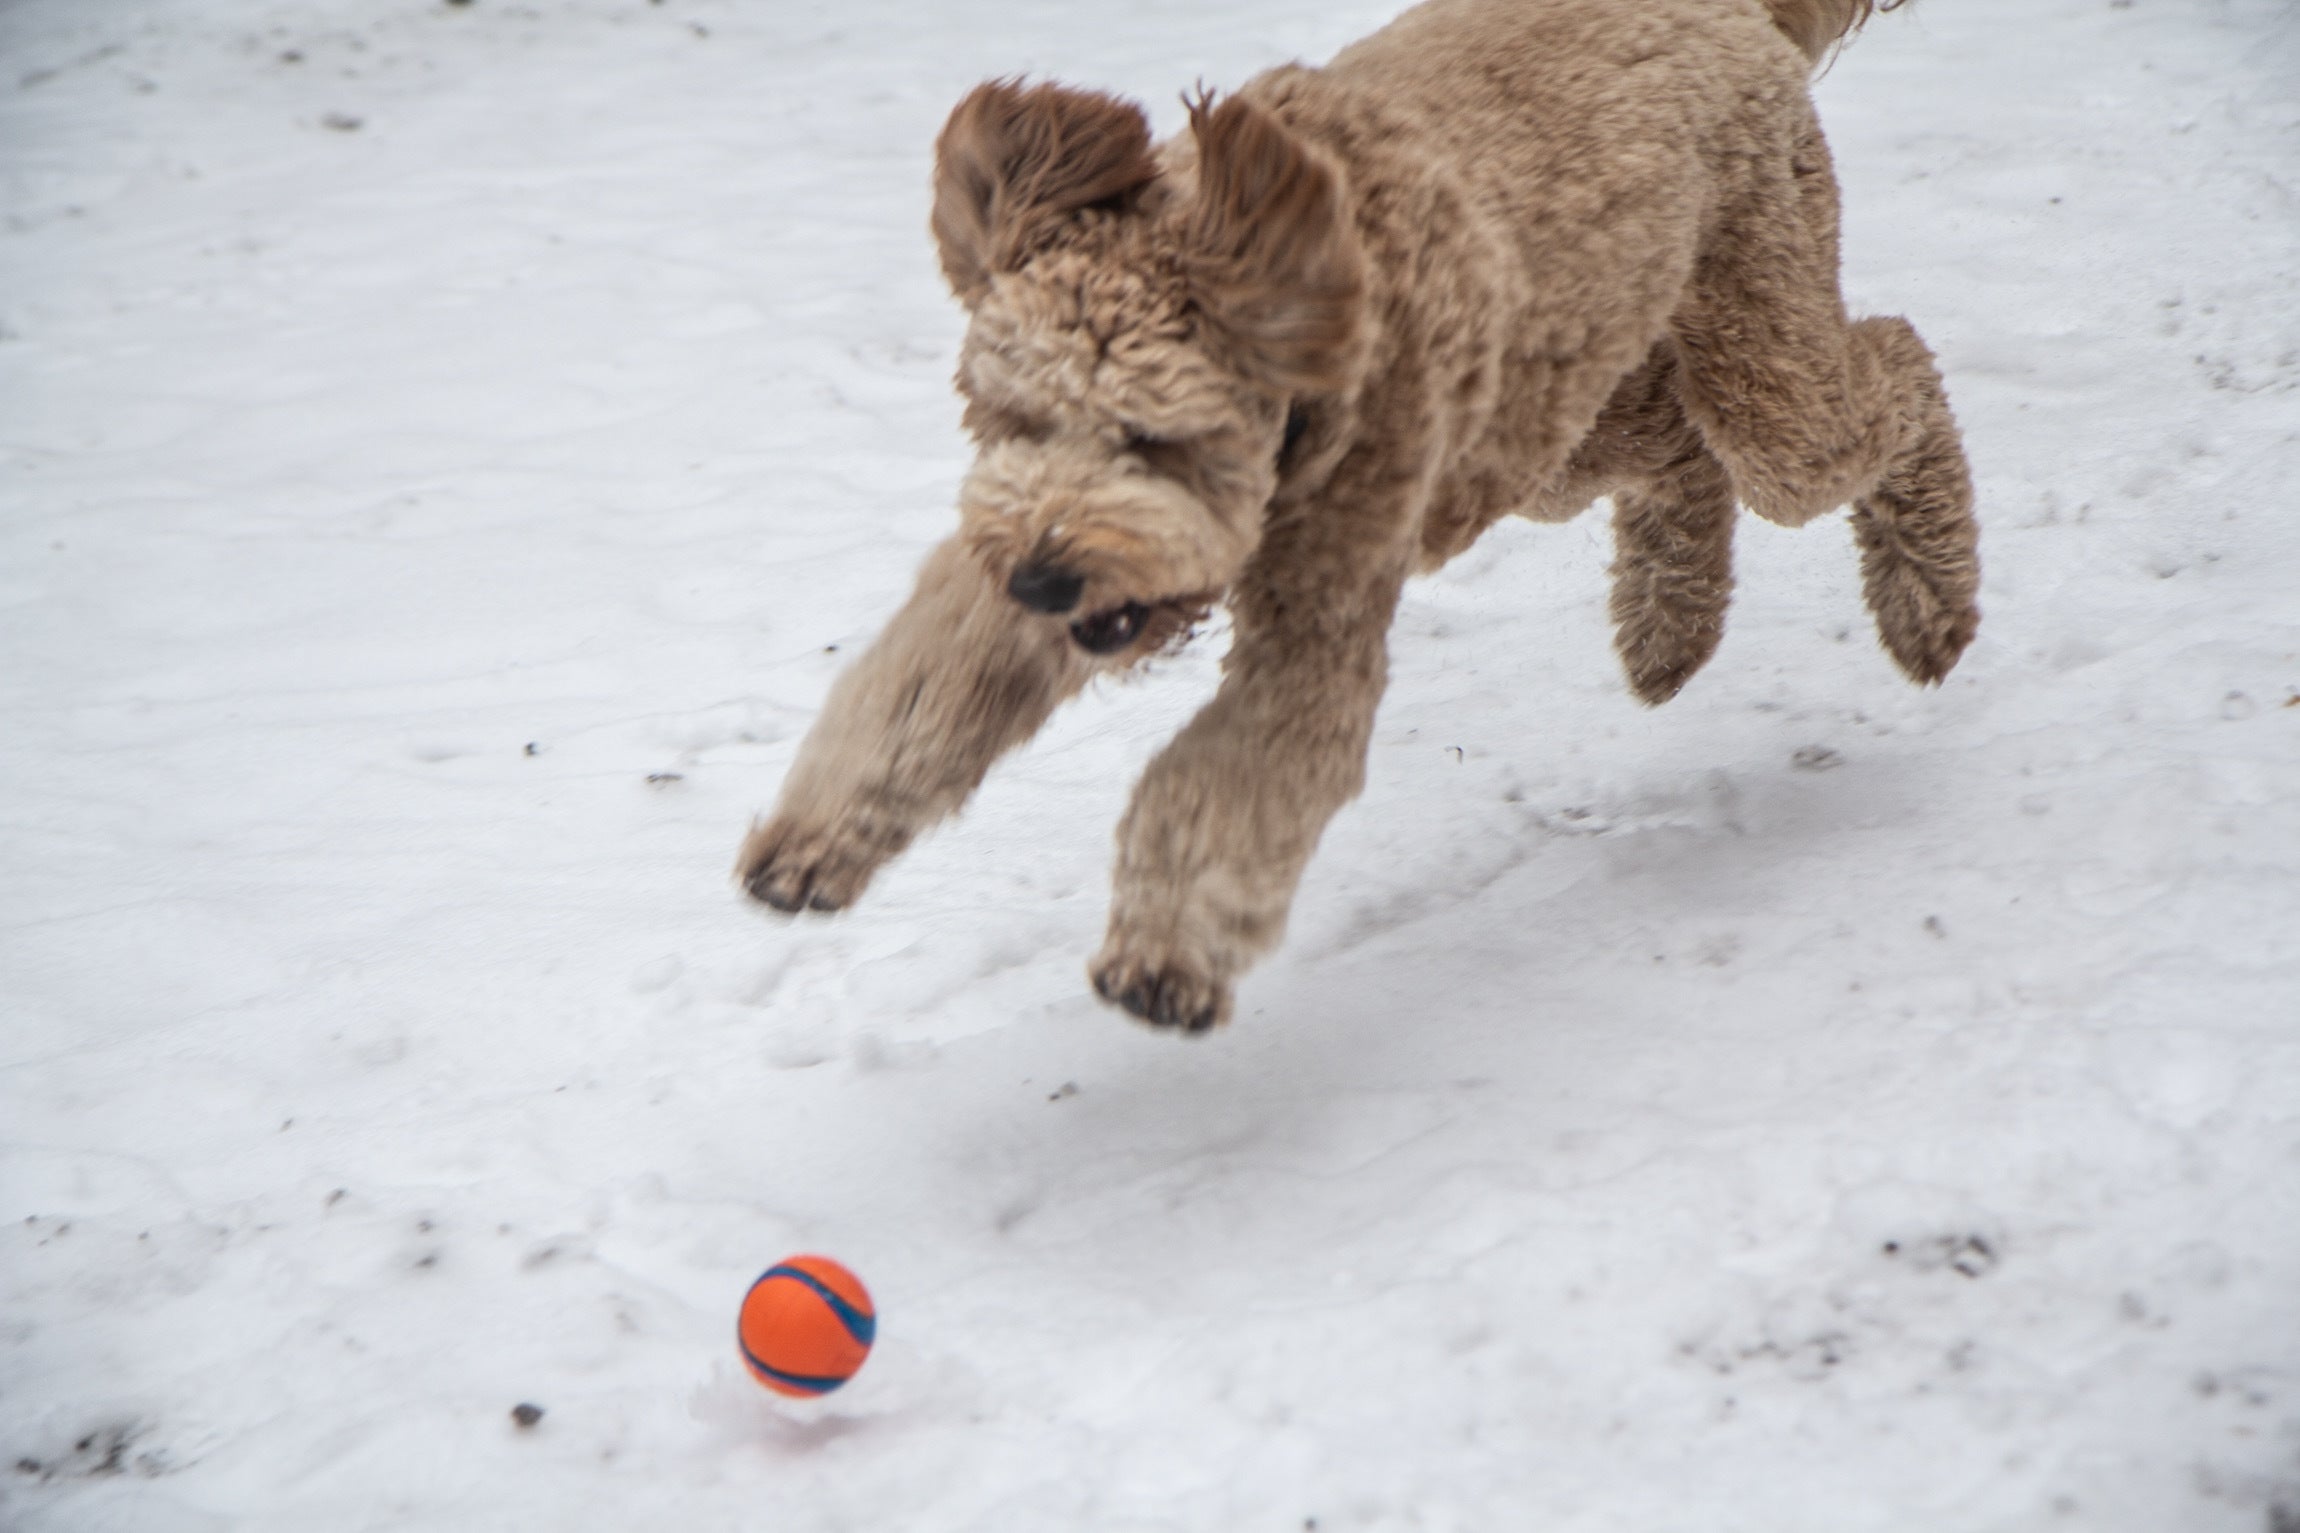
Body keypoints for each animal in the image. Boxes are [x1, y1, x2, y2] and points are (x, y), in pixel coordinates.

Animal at [736, 0, 1978, 1038]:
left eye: (1152, 436)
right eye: (1010, 416)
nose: (1045, 581)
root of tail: (1725, 7)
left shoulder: (1319, 600)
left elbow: (1232, 771)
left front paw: (1163, 959)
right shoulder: (1018, 554)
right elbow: (922, 681)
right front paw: (810, 842)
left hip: (1752, 357)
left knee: (1890, 369)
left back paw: (1929, 606)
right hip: (1554, 412)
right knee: (1675, 453)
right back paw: (1667, 631)